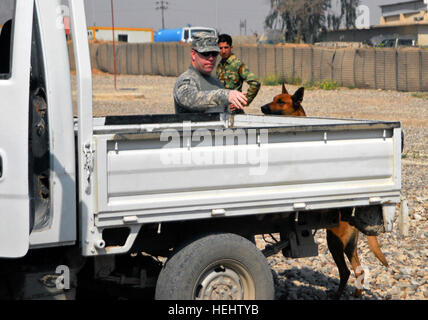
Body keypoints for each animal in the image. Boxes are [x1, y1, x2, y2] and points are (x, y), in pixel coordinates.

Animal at [260, 84, 390, 298]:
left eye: (281, 101)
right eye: (273, 98)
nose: (262, 107)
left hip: (335, 241)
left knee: (347, 271)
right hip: (347, 244)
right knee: (358, 270)